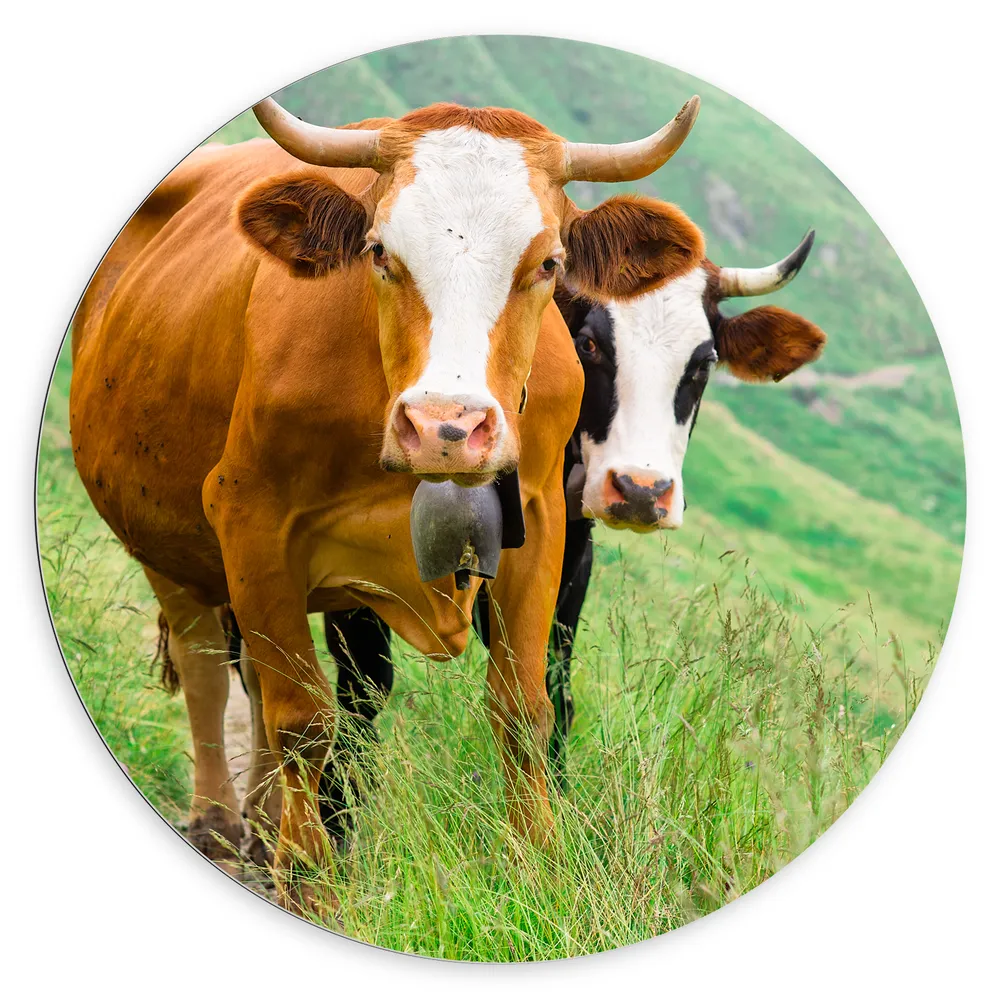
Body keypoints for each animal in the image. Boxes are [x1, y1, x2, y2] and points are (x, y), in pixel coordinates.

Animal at [70, 95, 706, 910]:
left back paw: (263, 821)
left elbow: (524, 708)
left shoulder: (543, 523)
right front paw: (309, 880)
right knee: (209, 664)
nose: (447, 427)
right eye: (378, 250)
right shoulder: (251, 519)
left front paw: (539, 872)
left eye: (549, 263)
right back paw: (221, 822)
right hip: (167, 541)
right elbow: (305, 720)